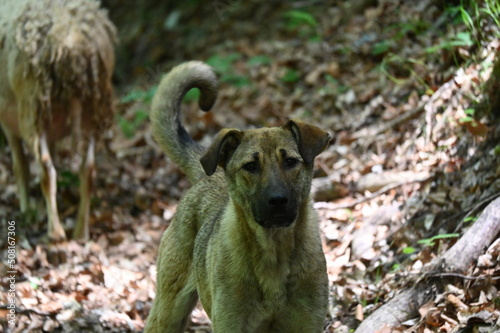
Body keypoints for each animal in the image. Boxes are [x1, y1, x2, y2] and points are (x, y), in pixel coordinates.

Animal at [145, 61, 330, 330]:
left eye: (290, 162)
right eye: (251, 166)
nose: (278, 201)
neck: (274, 252)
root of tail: (205, 176)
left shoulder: (307, 323)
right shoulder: (230, 323)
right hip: (167, 313)